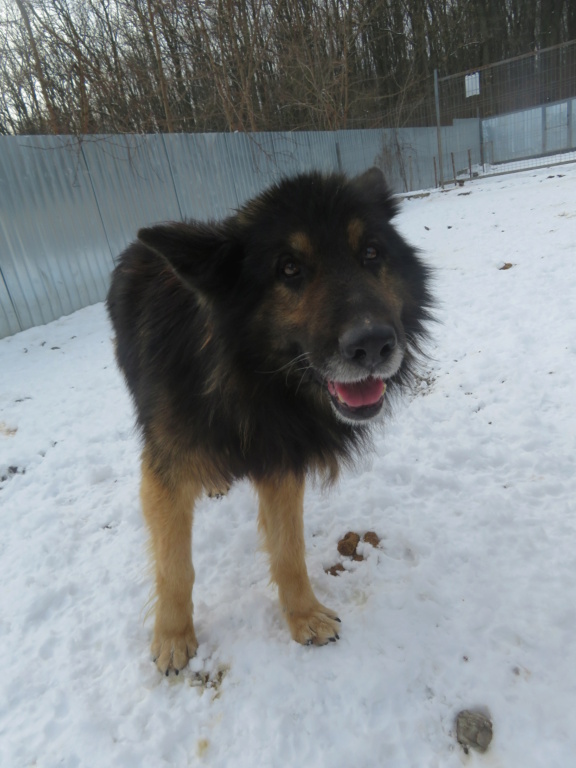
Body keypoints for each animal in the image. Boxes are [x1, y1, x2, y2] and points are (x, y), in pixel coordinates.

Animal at [107, 168, 432, 672]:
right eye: (289, 269)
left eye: (371, 253)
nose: (374, 345)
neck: (247, 385)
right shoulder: (165, 472)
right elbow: (175, 566)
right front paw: (173, 636)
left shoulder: (281, 459)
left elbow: (288, 550)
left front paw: (303, 616)